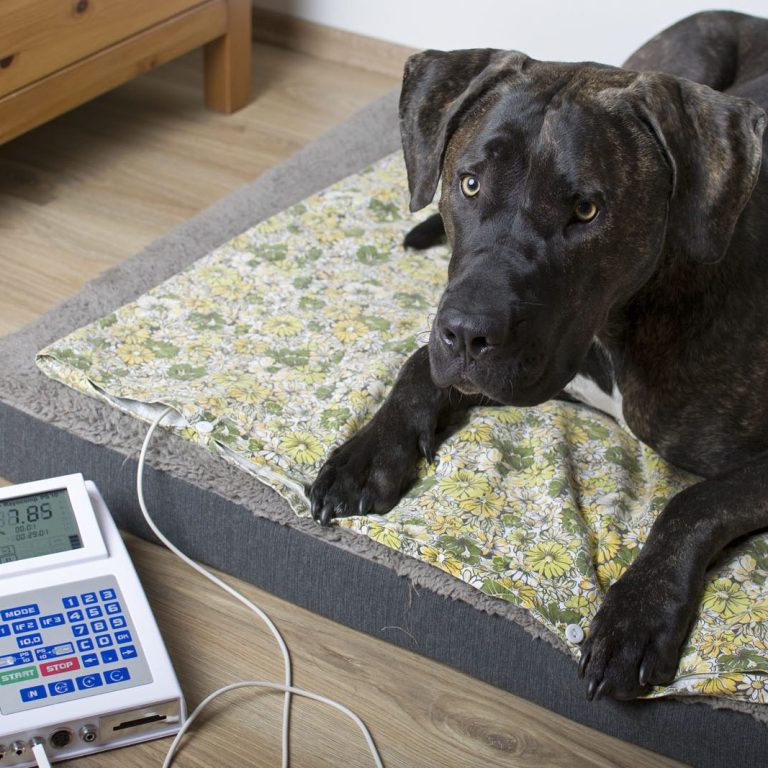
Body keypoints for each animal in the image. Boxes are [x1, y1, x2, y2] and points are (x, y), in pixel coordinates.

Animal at [308, 12, 768, 700]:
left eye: (587, 210)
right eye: (469, 183)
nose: (466, 335)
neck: (623, 322)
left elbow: (694, 502)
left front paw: (637, 614)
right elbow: (418, 364)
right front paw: (367, 453)